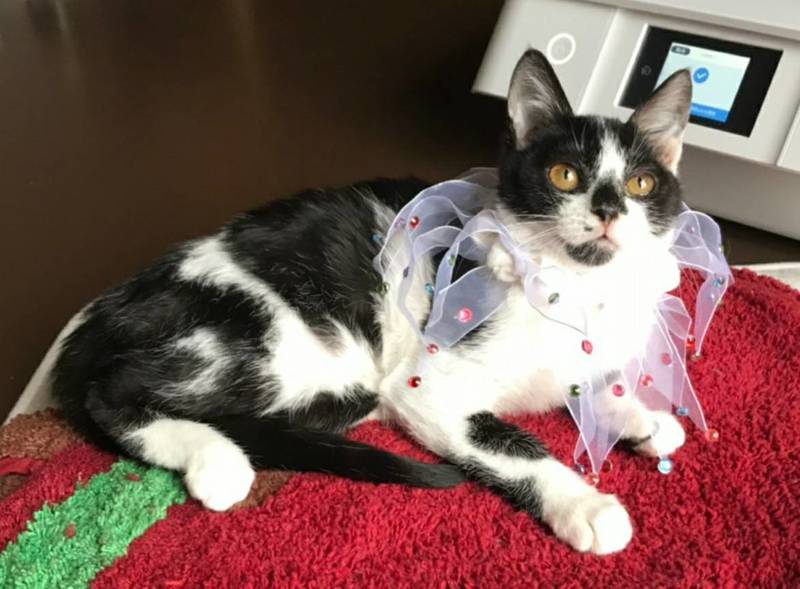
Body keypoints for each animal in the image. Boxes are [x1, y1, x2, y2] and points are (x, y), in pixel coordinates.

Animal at [52, 49, 693, 555]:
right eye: (564, 175)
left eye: (640, 184)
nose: (608, 210)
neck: (577, 289)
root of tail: (103, 313)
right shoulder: (426, 387)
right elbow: (514, 446)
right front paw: (586, 505)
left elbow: (595, 380)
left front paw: (640, 417)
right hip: (271, 337)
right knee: (114, 392)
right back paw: (217, 460)